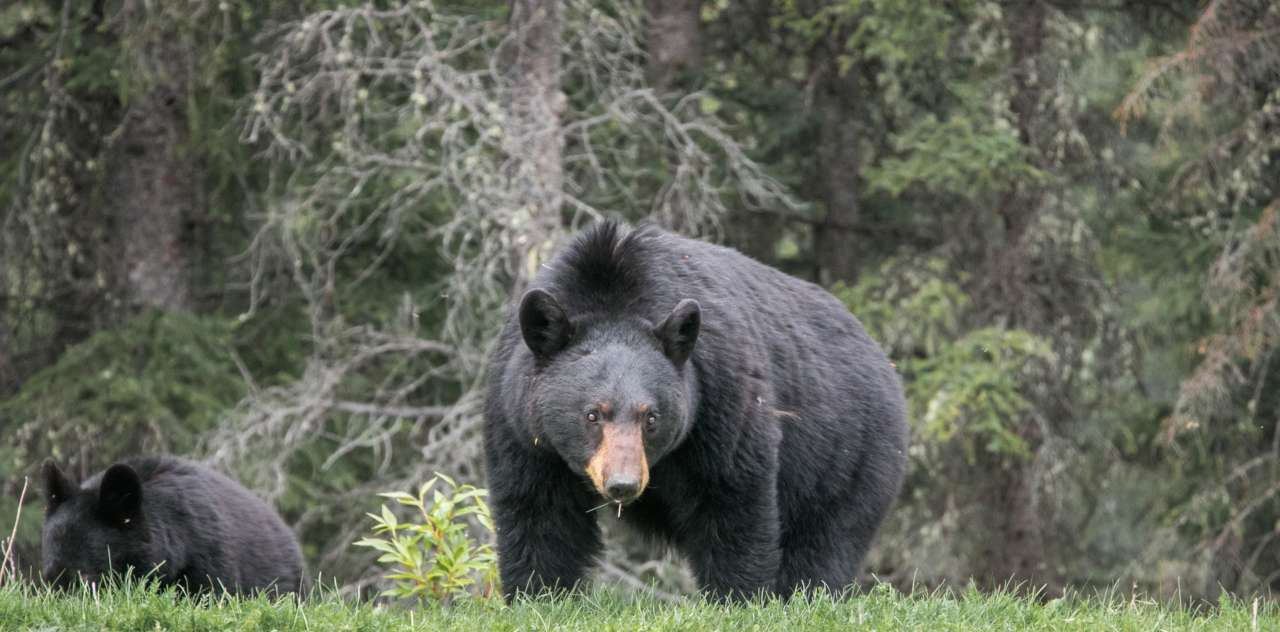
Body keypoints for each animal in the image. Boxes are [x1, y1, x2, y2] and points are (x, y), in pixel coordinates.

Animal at [481, 223, 911, 601]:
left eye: (651, 417)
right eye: (592, 414)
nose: (623, 484)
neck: (612, 289)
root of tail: (883, 359)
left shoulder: (720, 392)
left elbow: (732, 496)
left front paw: (737, 597)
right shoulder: (520, 420)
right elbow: (540, 510)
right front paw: (539, 594)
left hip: (850, 456)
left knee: (826, 541)